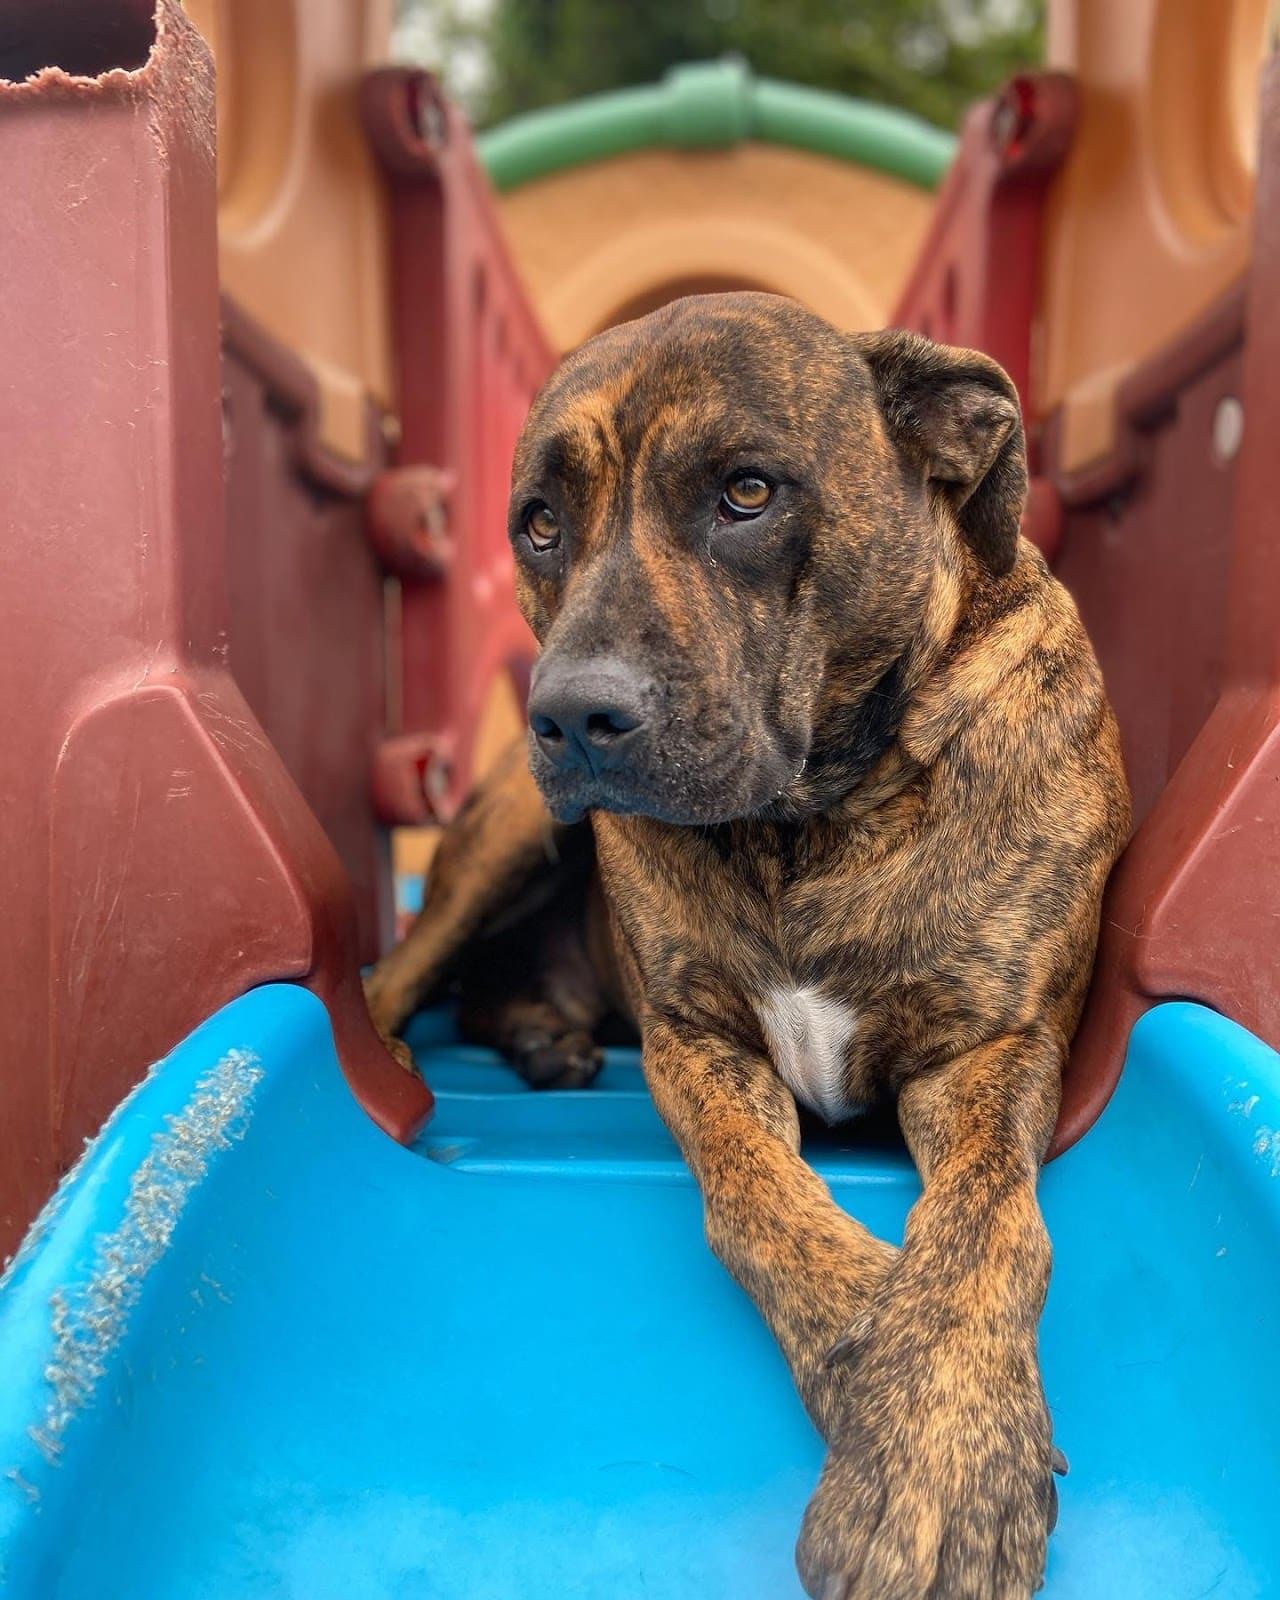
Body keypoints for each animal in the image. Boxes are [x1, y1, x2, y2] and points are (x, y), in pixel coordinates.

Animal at [364, 294, 1126, 1593]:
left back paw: (543, 1035)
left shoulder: (988, 1053)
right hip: (510, 829)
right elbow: (754, 1194)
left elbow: (984, 1230)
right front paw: (861, 1334)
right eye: (538, 524)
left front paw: (934, 1461)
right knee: (402, 974)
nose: (572, 714)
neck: (806, 824)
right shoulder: (695, 1041)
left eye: (747, 493)